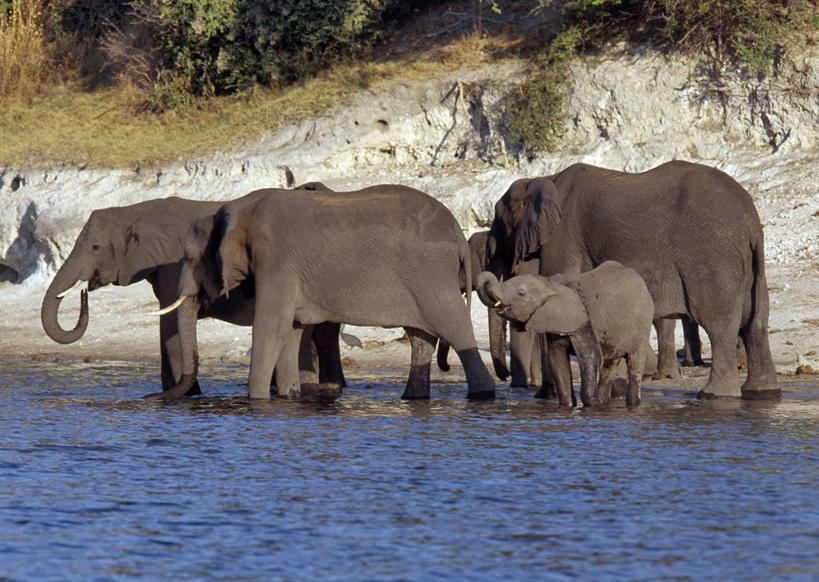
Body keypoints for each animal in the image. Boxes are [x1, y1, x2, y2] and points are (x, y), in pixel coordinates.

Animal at [40, 189, 346, 400]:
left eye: (94, 247)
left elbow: (169, 325)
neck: (135, 211)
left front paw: (186, 394)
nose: (84, 290)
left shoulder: (171, 264)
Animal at [160, 186, 494, 402]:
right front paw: (290, 396)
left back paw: (482, 394)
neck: (237, 208)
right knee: (421, 337)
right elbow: (290, 330)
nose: (161, 397)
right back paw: (413, 398)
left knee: (454, 327)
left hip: (431, 275)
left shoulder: (276, 260)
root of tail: (457, 232)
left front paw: (256, 401)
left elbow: (270, 327)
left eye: (189, 257)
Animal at [474, 262, 652, 408]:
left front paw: (591, 406)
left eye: (521, 293)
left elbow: (590, 357)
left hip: (643, 325)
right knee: (610, 364)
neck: (551, 285)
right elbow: (558, 361)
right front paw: (567, 406)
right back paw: (603, 402)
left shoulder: (583, 321)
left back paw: (631, 404)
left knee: (634, 364)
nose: (506, 376)